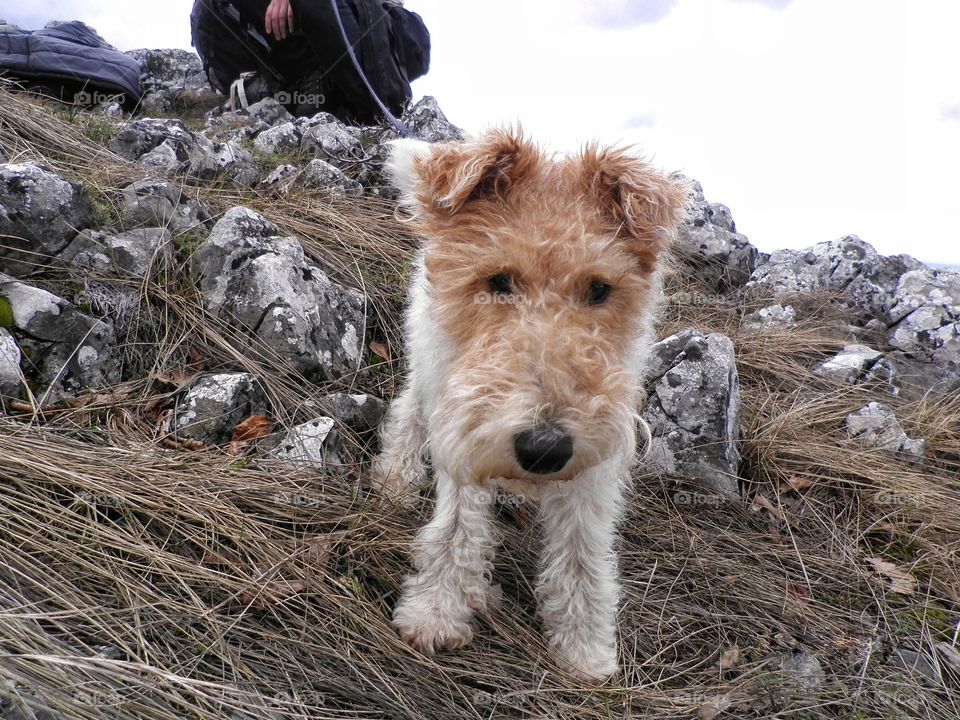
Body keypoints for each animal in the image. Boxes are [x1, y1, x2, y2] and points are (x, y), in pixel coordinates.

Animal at [372, 129, 688, 680]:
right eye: (498, 281)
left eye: (599, 288)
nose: (544, 448)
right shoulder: (465, 421)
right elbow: (457, 527)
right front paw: (436, 611)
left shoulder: (598, 454)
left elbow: (582, 550)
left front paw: (584, 647)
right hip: (427, 359)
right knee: (409, 413)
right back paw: (394, 479)